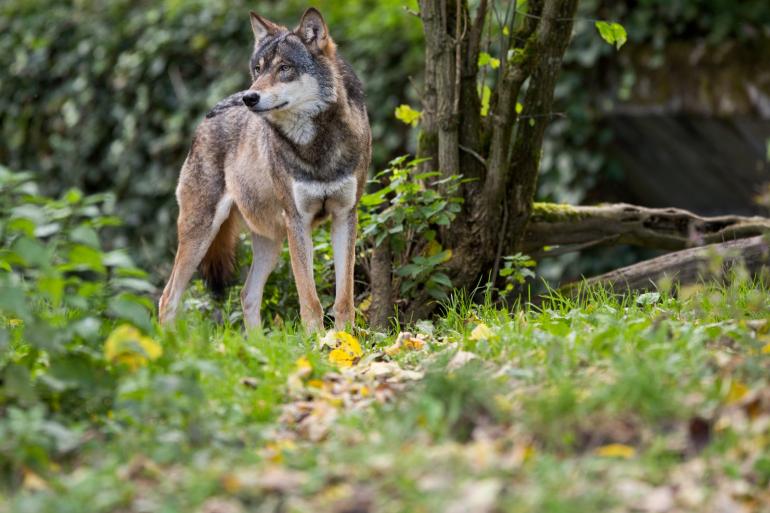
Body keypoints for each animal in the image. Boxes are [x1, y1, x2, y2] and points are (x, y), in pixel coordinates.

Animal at [157, 8, 368, 332]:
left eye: (284, 68)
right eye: (258, 69)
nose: (250, 97)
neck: (317, 146)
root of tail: (207, 117)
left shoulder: (345, 215)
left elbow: (344, 299)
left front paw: (345, 340)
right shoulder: (297, 221)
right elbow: (310, 301)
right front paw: (318, 341)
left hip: (271, 239)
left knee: (247, 295)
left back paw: (256, 343)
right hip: (202, 231)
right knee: (167, 298)